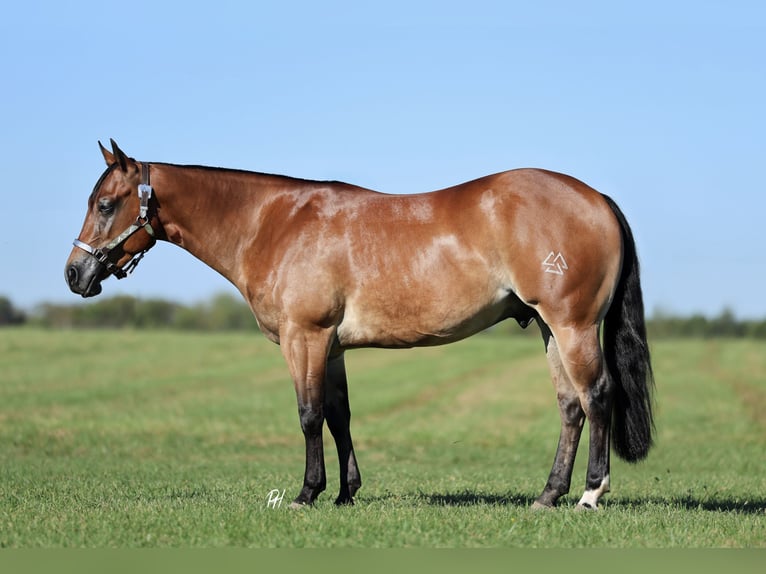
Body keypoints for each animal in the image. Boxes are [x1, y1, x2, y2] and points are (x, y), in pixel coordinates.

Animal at [65, 140, 654, 510]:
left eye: (106, 203)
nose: (75, 274)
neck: (273, 223)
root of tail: (596, 199)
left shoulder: (304, 337)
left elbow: (308, 416)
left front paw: (306, 494)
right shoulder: (331, 347)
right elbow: (338, 416)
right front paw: (346, 492)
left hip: (573, 326)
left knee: (598, 397)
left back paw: (589, 495)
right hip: (552, 331)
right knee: (570, 407)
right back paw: (547, 496)